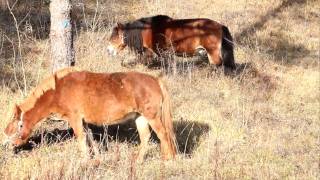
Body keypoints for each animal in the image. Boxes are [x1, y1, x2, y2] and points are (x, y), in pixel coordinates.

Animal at [2, 68, 176, 161]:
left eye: (18, 126)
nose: (9, 145)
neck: (58, 90)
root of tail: (155, 80)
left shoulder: (75, 119)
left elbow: (81, 139)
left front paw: (85, 161)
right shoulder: (84, 121)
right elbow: (90, 138)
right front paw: (96, 159)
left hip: (152, 117)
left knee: (163, 135)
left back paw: (168, 159)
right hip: (140, 117)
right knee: (146, 137)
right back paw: (139, 160)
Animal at [107, 14, 235, 69]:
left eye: (114, 37)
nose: (108, 50)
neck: (149, 31)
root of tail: (220, 25)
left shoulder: (163, 53)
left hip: (212, 52)